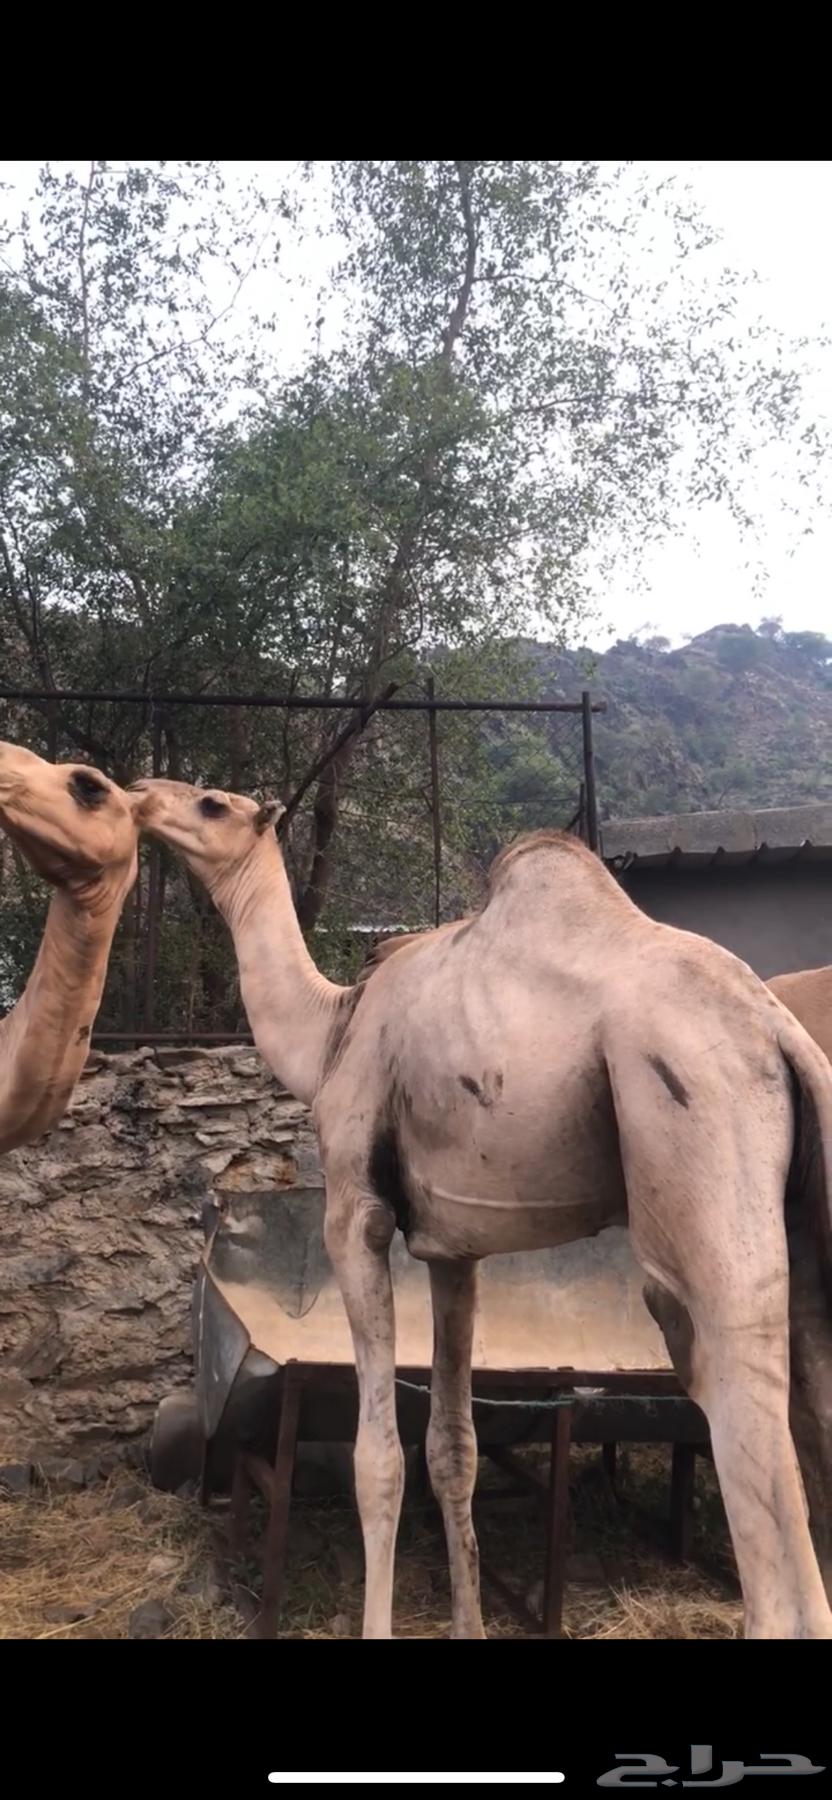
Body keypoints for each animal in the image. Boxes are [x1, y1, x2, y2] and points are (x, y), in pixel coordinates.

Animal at [131, 776, 832, 1640]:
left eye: (211, 805)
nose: (141, 795)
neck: (330, 1033)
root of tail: (779, 1032)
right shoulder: (453, 1251)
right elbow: (452, 1449)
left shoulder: (355, 1213)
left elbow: (378, 1460)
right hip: (805, 1214)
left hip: (702, 1142)